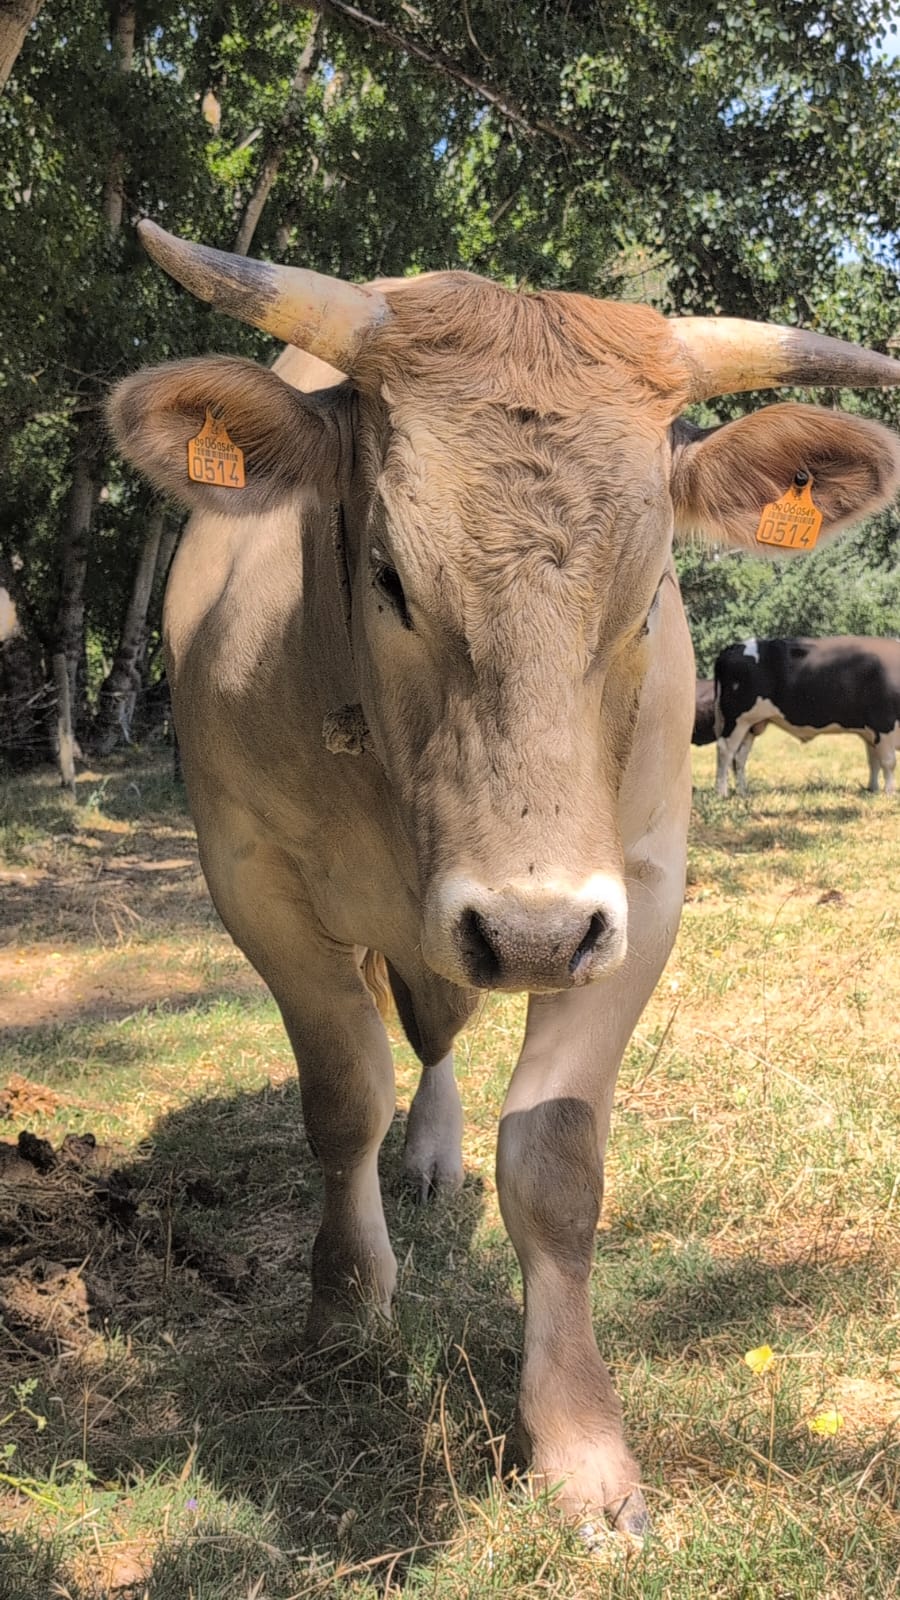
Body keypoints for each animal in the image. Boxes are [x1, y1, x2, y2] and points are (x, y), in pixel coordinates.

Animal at [714, 636, 900, 796]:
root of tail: (733, 648)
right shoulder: (883, 723)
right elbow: (889, 762)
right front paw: (889, 793)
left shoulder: (871, 731)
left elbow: (874, 761)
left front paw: (873, 789)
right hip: (736, 719)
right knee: (725, 750)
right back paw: (722, 793)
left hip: (751, 724)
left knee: (740, 756)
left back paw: (743, 792)